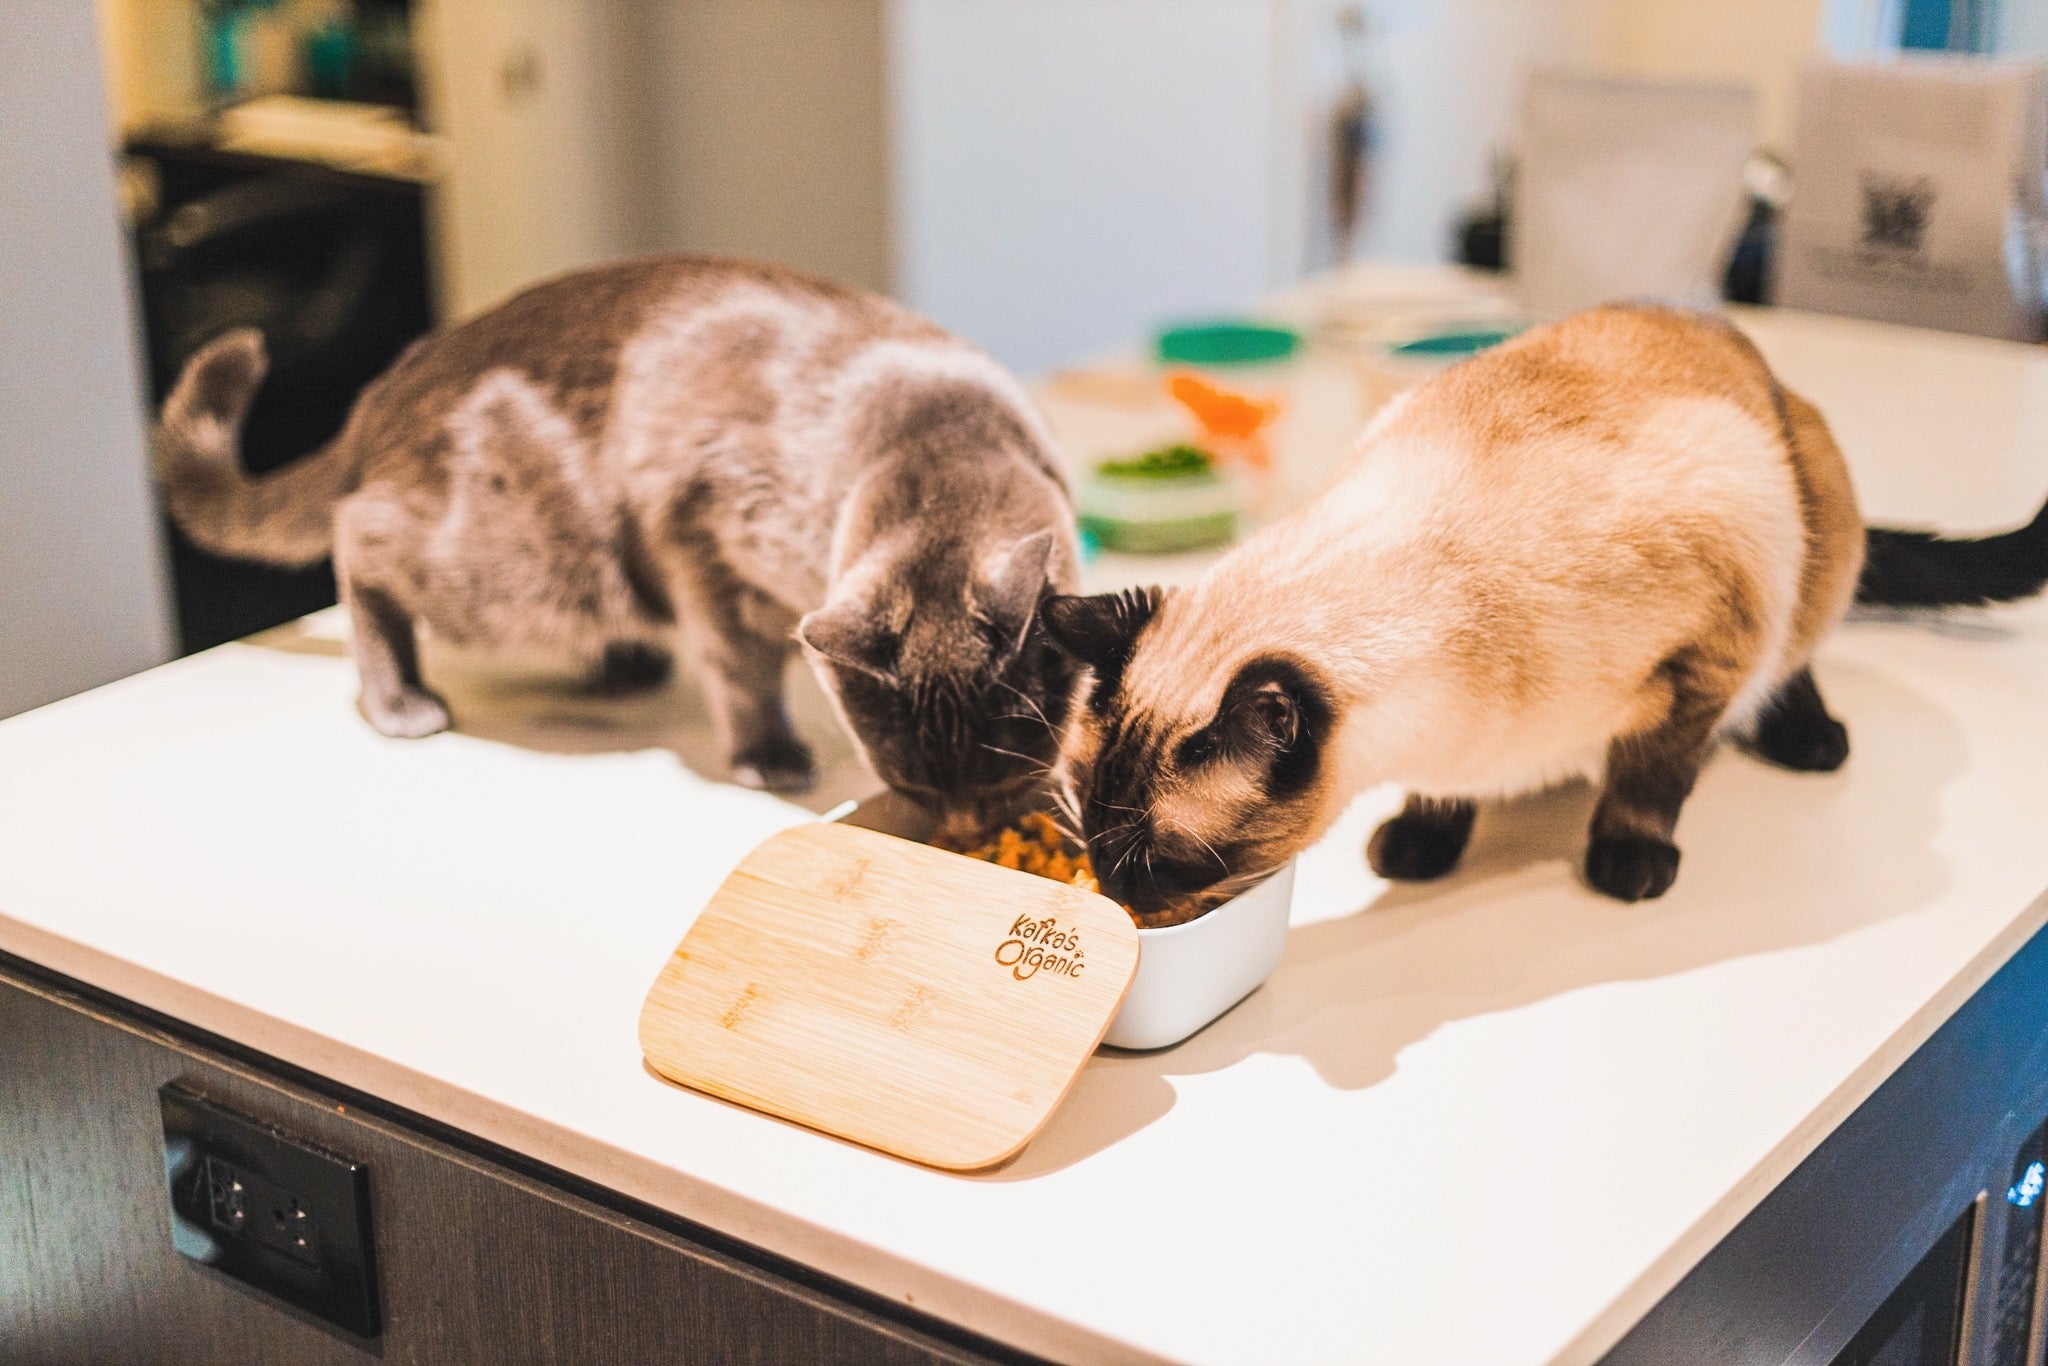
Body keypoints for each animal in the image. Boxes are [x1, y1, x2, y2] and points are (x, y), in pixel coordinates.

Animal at [157, 252, 1081, 839]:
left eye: (1002, 781)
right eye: (912, 786)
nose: (964, 830)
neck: (935, 436)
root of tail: (385, 387)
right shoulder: (703, 544)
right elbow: (742, 671)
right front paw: (770, 757)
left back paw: (626, 662)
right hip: (519, 562)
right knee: (360, 541)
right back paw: (401, 701)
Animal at [1048, 305, 2048, 913]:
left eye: (1159, 863)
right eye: (1087, 828)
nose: (1116, 900)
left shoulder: (1708, 655)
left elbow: (1648, 780)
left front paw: (1628, 863)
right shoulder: (1452, 745)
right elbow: (1442, 791)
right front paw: (1420, 844)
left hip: (1810, 544)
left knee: (1797, 658)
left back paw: (1810, 742)